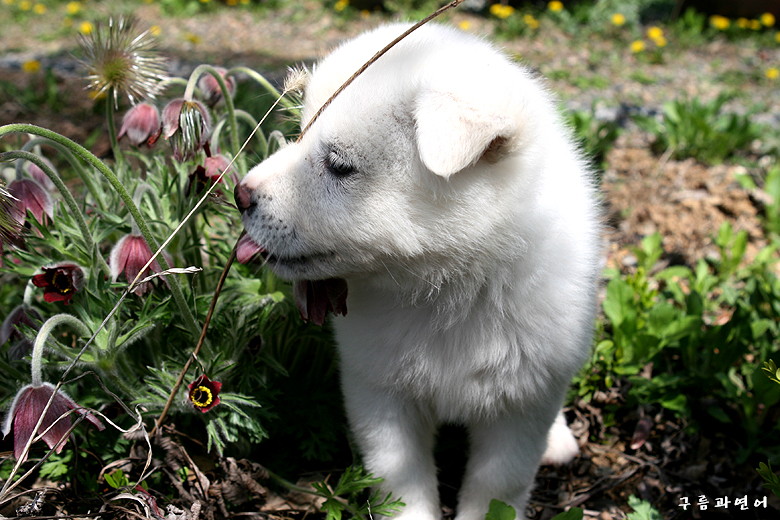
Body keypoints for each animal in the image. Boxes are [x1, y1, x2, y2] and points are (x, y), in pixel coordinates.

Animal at [235, 22, 600, 516]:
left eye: (339, 165)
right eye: (301, 132)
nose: (240, 193)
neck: (448, 288)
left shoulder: (520, 404)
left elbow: (498, 484)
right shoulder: (379, 389)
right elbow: (398, 475)